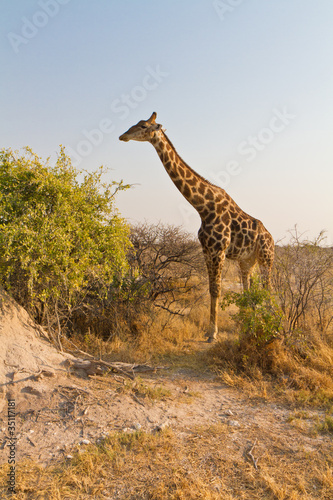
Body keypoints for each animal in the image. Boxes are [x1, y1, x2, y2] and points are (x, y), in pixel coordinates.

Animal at [118, 112, 274, 342]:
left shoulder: (218, 250)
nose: (123, 136)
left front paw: (212, 334)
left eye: (143, 126)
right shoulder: (206, 250)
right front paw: (211, 331)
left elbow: (217, 290)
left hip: (265, 258)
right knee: (249, 290)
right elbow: (211, 289)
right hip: (247, 262)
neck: (202, 206)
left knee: (268, 289)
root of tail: (272, 239)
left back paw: (272, 326)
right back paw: (248, 327)